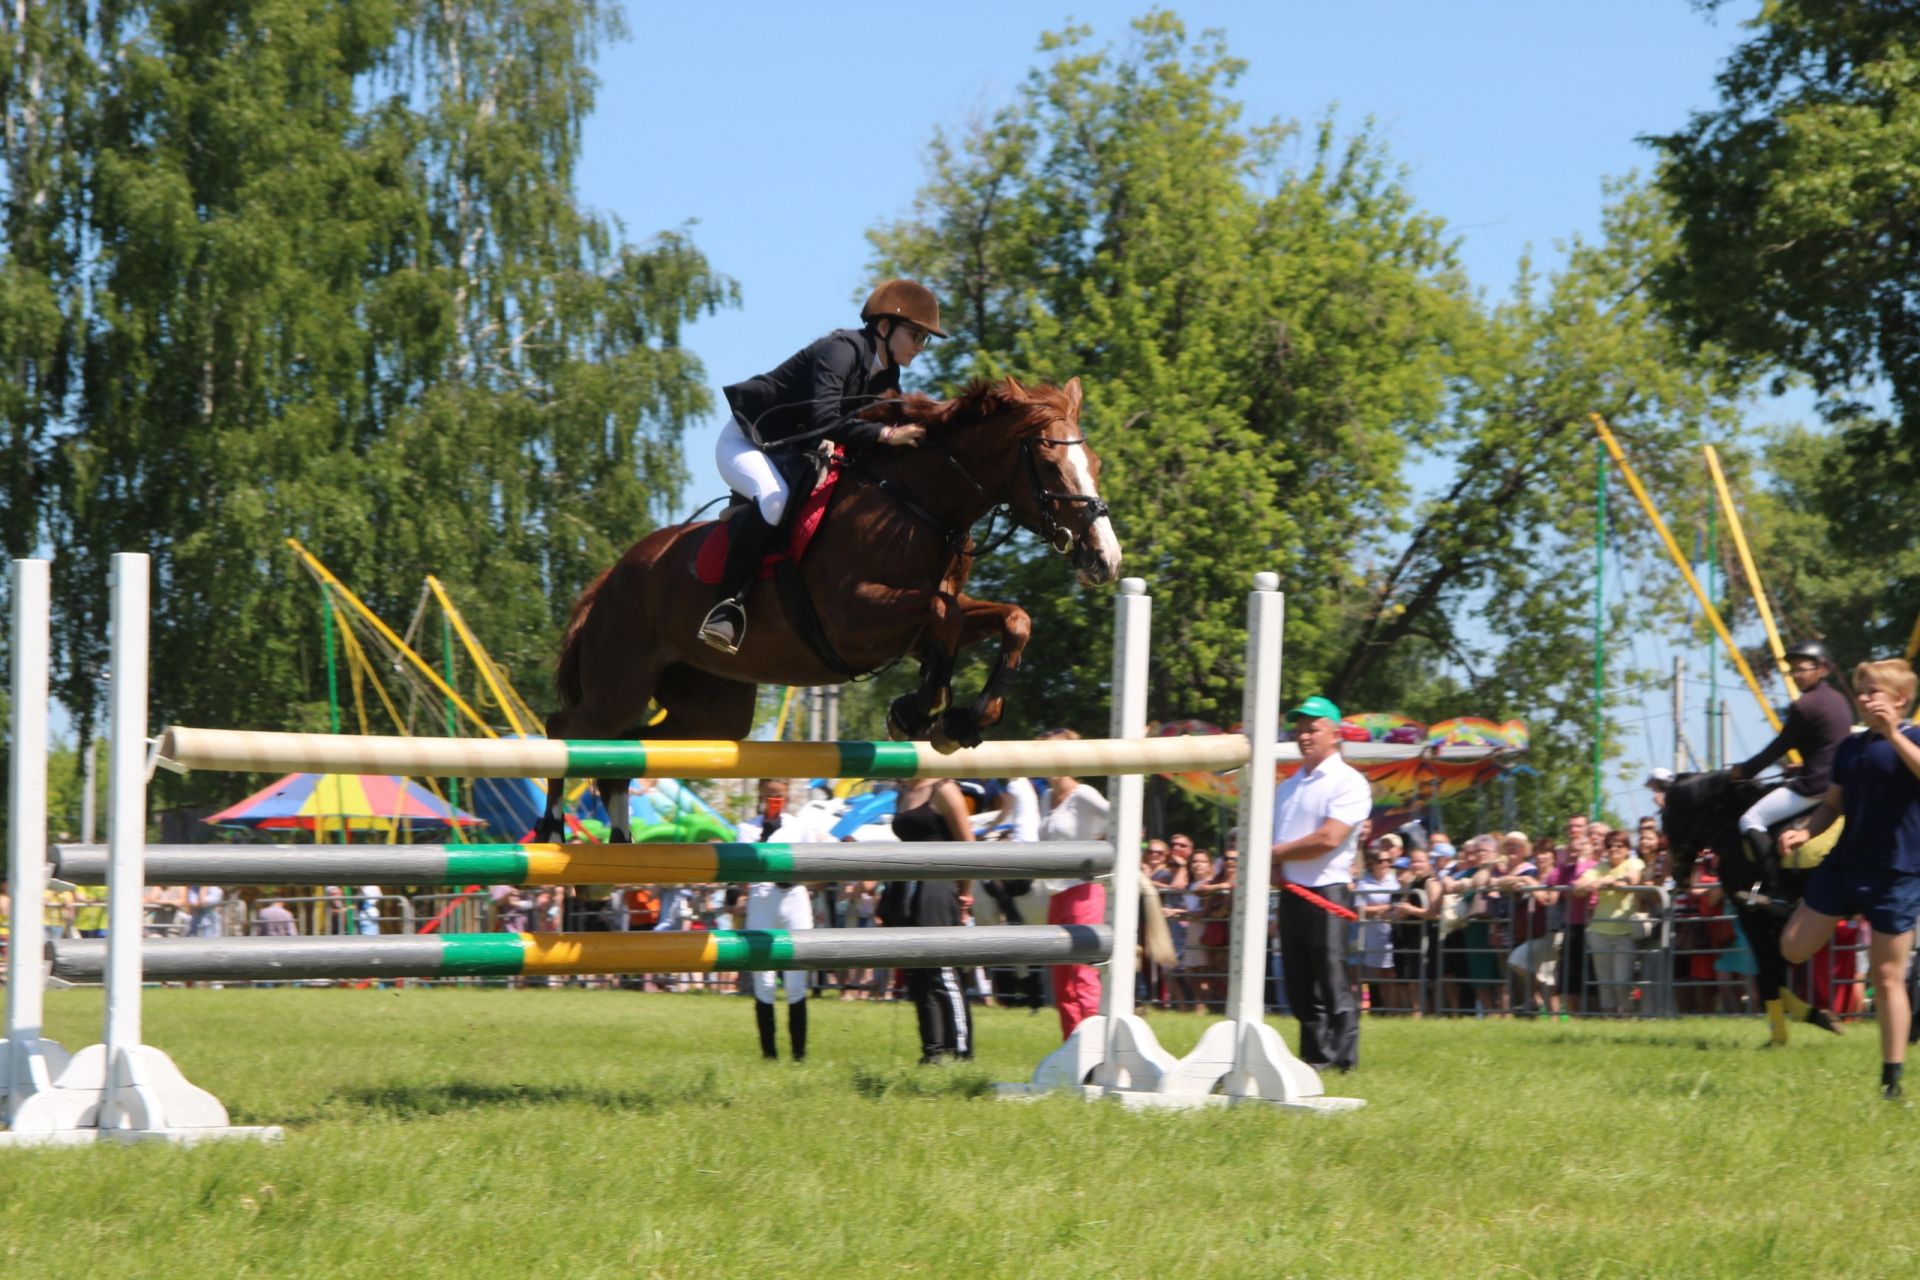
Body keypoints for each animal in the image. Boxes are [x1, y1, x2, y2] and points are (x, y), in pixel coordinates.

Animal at [529, 376, 1121, 844]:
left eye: (1093, 463)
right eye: (1050, 465)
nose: (1106, 560)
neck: (917, 503)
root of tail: (610, 577)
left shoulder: (915, 626)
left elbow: (1010, 618)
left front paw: (962, 718)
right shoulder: (854, 618)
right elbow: (943, 613)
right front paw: (921, 708)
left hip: (711, 712)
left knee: (624, 751)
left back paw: (618, 847)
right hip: (619, 683)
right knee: (569, 729)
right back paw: (554, 830)